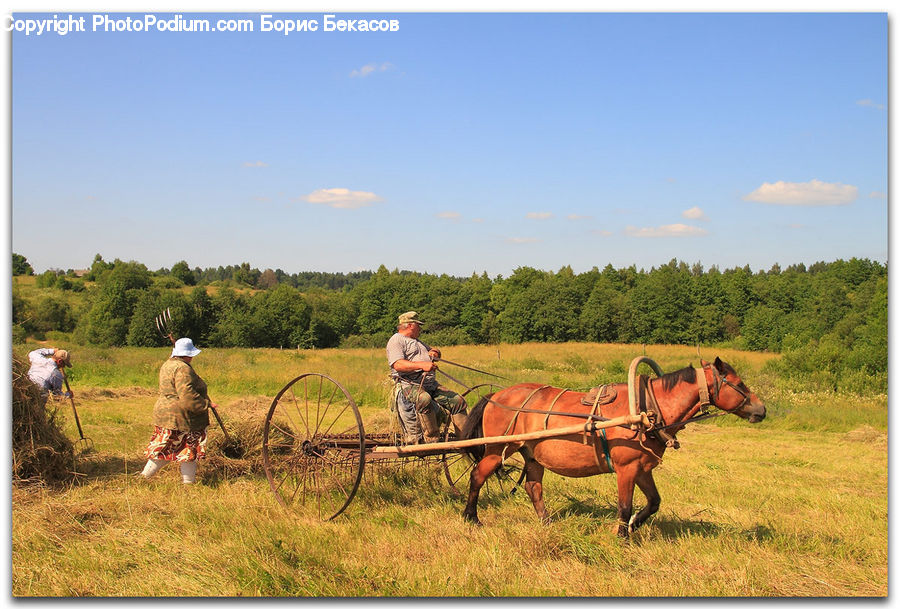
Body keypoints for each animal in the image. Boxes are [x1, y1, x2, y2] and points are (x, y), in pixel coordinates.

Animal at [464, 356, 768, 536]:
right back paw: (471, 517)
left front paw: (634, 526)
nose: (762, 410)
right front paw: (622, 536)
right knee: (477, 476)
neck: (646, 408)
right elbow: (624, 505)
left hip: (533, 455)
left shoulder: (643, 469)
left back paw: (547, 522)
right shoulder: (626, 468)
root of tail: (495, 396)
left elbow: (654, 502)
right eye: (739, 383)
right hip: (497, 450)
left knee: (533, 487)